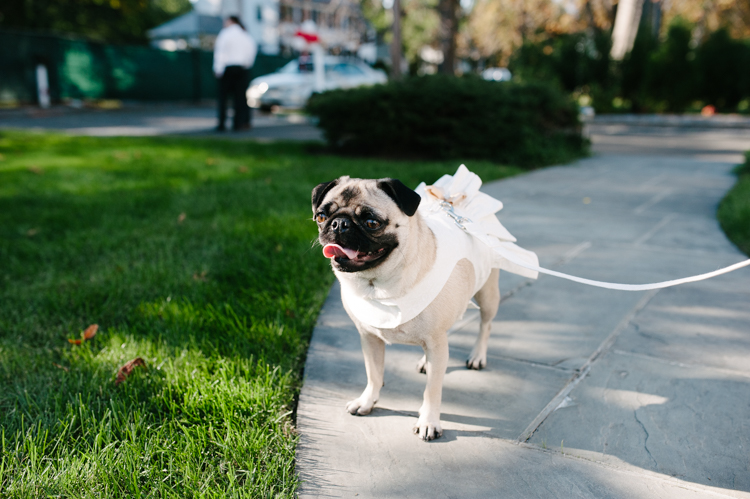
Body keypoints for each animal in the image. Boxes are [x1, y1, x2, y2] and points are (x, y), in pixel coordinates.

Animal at [314, 177, 502, 442]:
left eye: (372, 222)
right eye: (321, 216)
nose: (339, 224)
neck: (378, 285)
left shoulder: (435, 340)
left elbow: (432, 390)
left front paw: (428, 421)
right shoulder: (369, 338)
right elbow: (374, 374)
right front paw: (367, 401)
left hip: (487, 294)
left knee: (485, 324)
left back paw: (478, 356)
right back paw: (425, 362)